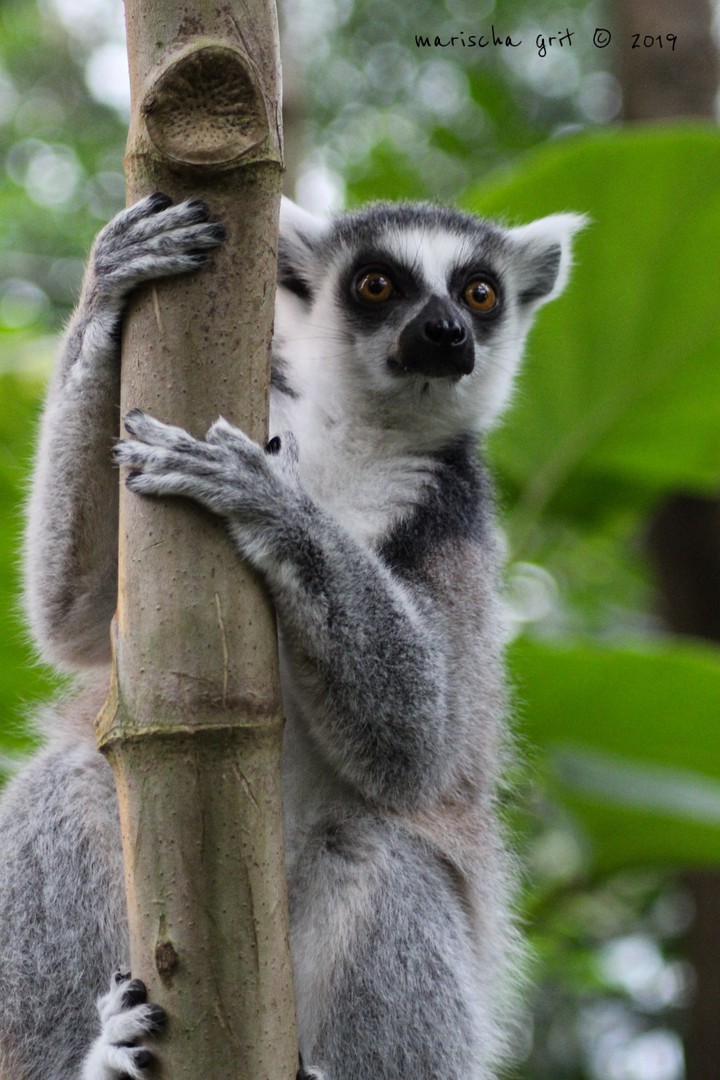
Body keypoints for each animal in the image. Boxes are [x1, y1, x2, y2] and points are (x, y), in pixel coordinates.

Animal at [0, 191, 584, 1079]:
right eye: (378, 284)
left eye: (479, 293)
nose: (447, 332)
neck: (358, 435)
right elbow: (71, 613)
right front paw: (110, 284)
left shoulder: (455, 522)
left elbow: (420, 744)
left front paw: (268, 500)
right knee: (66, 787)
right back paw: (95, 1061)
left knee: (383, 854)